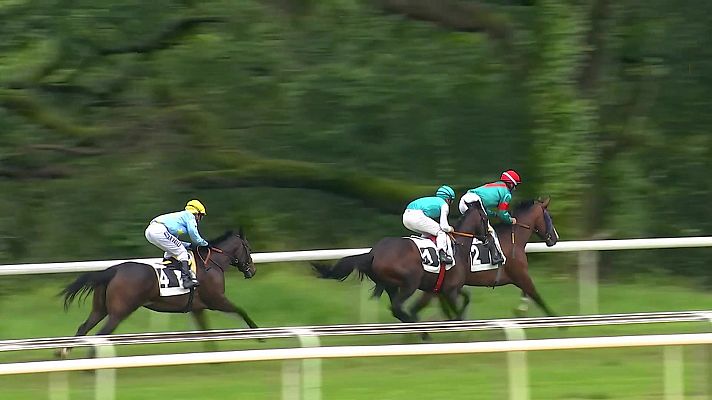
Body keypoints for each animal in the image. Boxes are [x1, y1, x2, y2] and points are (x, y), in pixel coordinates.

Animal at [58, 229, 257, 358]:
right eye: (247, 247)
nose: (252, 271)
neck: (210, 263)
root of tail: (113, 270)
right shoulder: (216, 300)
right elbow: (240, 310)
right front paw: (258, 333)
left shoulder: (197, 308)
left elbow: (206, 331)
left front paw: (214, 355)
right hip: (119, 312)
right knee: (101, 335)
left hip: (100, 309)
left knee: (83, 328)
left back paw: (63, 351)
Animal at [312, 205, 488, 324]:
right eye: (486, 220)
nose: (487, 237)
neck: (458, 248)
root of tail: (373, 252)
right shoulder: (450, 290)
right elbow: (457, 309)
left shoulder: (442, 289)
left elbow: (465, 298)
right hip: (410, 282)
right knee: (397, 307)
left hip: (391, 285)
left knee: (397, 309)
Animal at [409, 198, 560, 321]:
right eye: (550, 217)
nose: (554, 238)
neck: (513, 240)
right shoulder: (521, 276)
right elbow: (537, 297)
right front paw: (557, 321)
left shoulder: (520, 277)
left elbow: (527, 294)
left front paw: (520, 311)